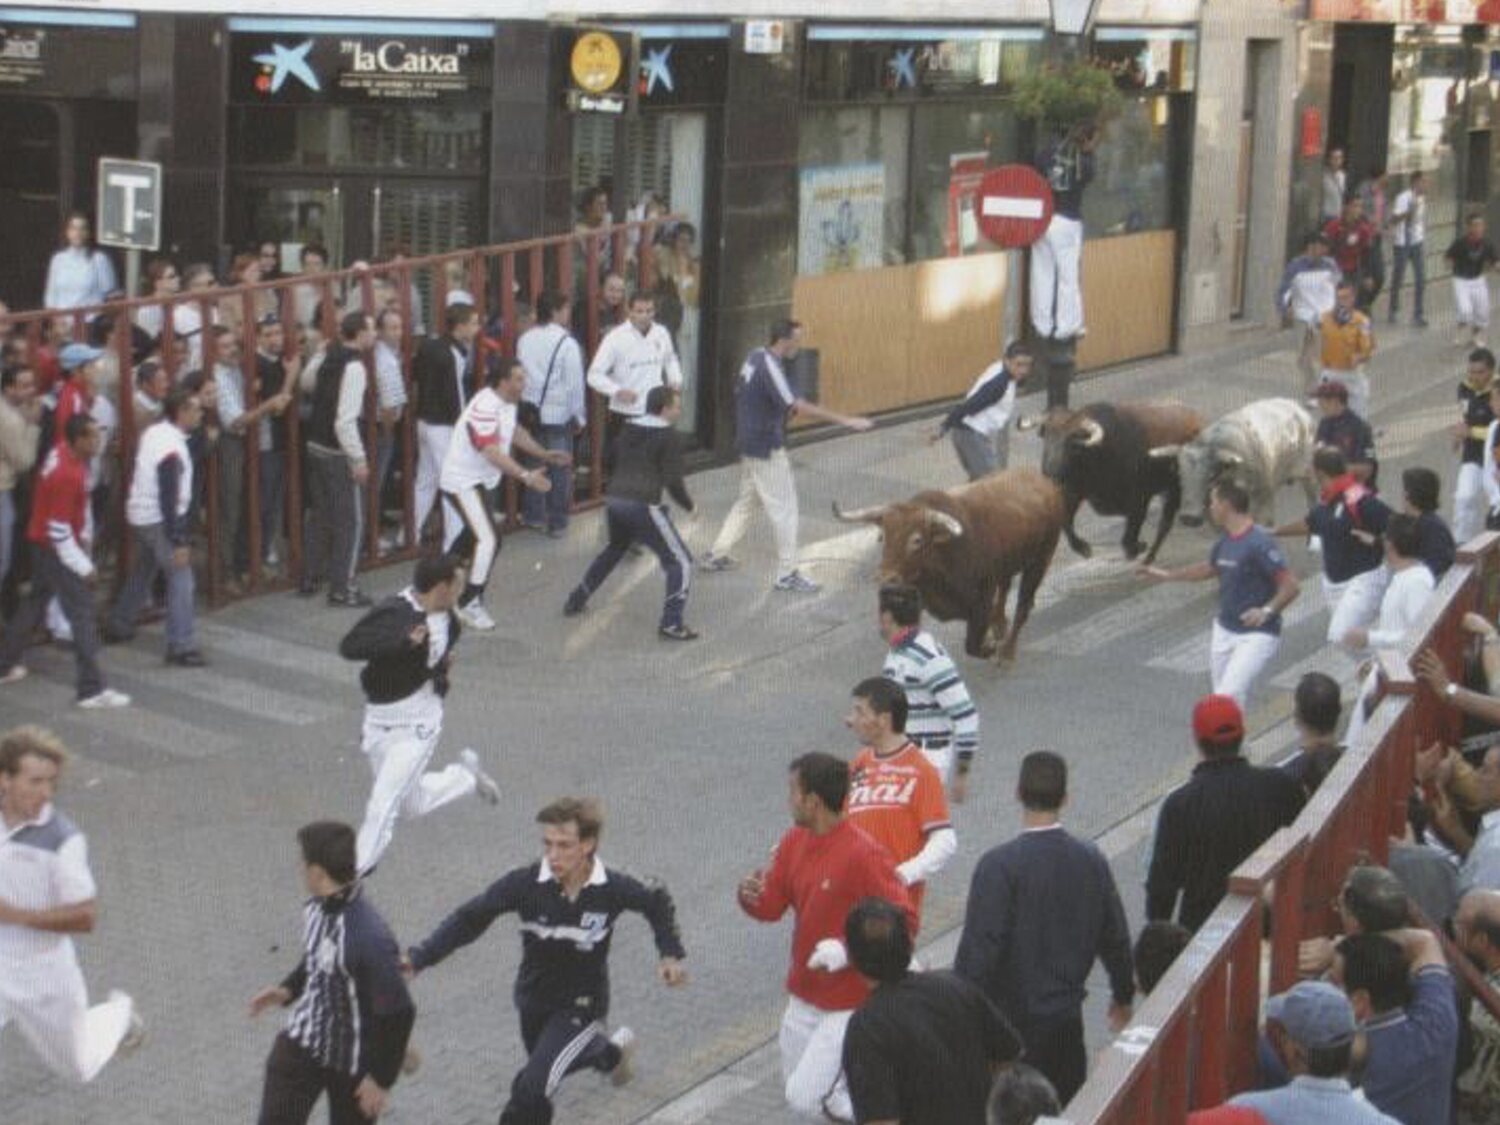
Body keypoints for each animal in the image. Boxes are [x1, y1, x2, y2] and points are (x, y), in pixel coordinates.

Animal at [834, 468, 1068, 660]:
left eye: (916, 540)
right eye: (883, 536)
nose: (886, 578)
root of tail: (1045, 482)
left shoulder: (981, 599)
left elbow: (972, 644)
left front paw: (990, 647)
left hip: (1041, 559)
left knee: (1024, 604)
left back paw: (1007, 654)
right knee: (1006, 587)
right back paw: (1000, 624)